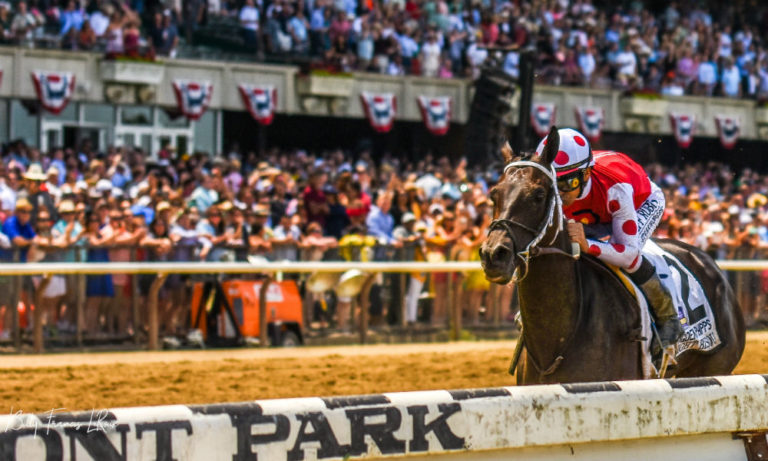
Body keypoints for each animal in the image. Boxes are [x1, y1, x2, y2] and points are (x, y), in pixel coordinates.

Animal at [480, 127, 744, 382]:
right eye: (494, 193)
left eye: (539, 195)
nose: (494, 254)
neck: (555, 343)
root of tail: (710, 263)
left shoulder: (619, 196)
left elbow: (628, 253)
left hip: (712, 367)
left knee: (633, 256)